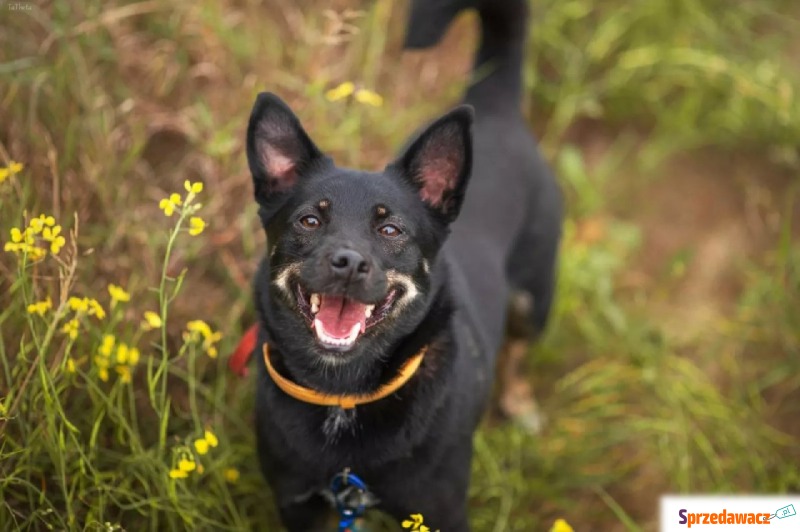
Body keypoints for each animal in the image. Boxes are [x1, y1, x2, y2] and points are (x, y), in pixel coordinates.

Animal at [248, 0, 564, 528]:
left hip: (534, 297)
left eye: (391, 230)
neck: (343, 396)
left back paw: (521, 403)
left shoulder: (441, 513)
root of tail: (496, 110)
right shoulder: (299, 506)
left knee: (519, 349)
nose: (348, 263)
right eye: (310, 220)